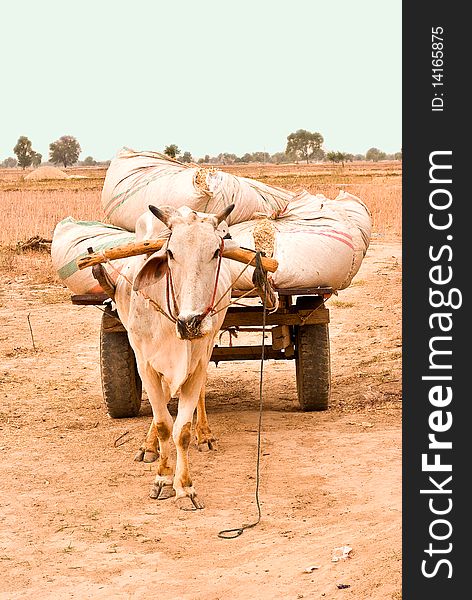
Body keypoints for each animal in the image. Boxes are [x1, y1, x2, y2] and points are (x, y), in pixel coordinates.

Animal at [115, 204, 236, 508]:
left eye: (215, 251)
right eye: (170, 253)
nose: (191, 322)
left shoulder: (198, 362)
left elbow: (181, 430)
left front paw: (185, 487)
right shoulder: (145, 363)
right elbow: (162, 424)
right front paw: (162, 478)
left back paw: (204, 435)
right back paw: (149, 447)